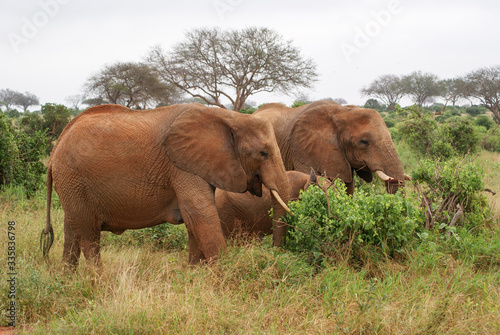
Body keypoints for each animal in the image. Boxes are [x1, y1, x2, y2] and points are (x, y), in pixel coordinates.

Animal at [43, 103, 294, 270]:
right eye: (263, 153)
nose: (275, 257)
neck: (231, 117)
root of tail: (55, 150)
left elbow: (195, 222)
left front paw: (194, 276)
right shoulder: (182, 167)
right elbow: (200, 215)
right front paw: (224, 278)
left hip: (71, 184)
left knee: (72, 232)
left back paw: (67, 281)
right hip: (73, 178)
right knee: (88, 235)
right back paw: (100, 283)